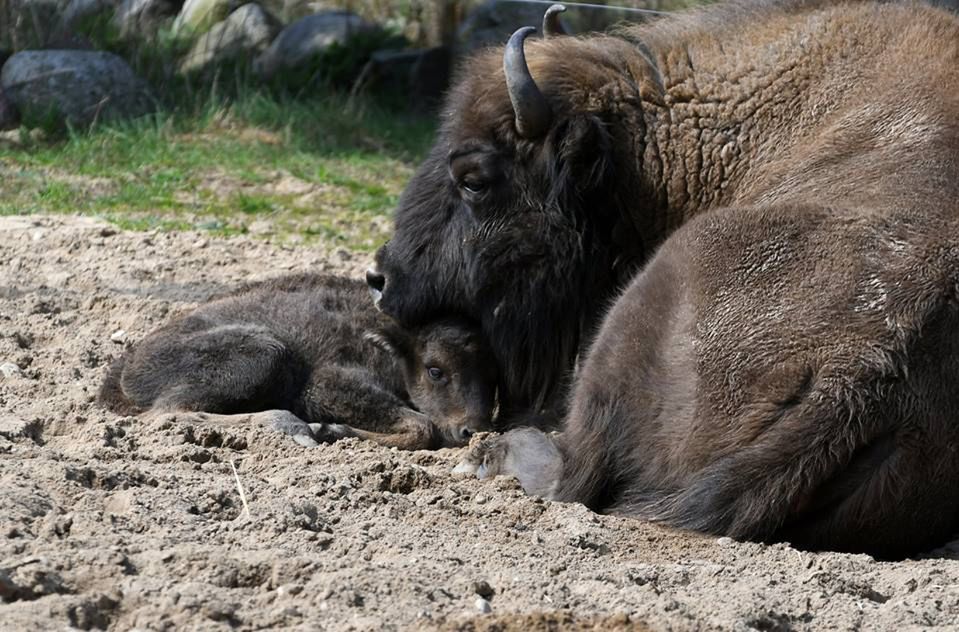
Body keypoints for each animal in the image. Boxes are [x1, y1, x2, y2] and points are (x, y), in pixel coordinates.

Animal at [101, 272, 498, 450]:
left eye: (492, 373)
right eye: (435, 370)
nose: (473, 430)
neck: (389, 342)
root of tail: (125, 368)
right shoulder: (327, 384)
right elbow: (423, 426)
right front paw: (328, 429)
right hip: (264, 353)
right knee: (168, 412)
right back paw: (289, 425)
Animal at [368, 0, 959, 552]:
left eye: (474, 179)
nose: (380, 277)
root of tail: (860, 370)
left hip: (629, 317)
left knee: (572, 475)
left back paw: (488, 453)